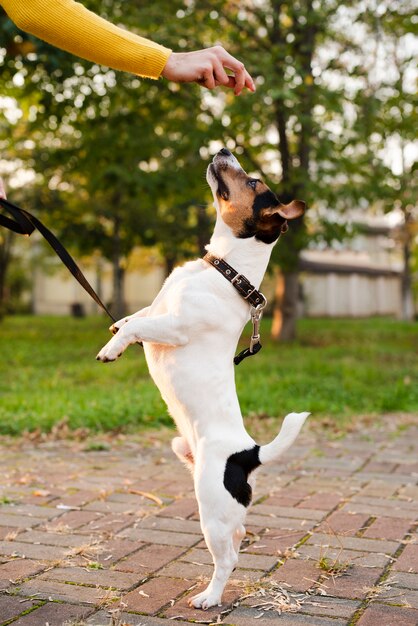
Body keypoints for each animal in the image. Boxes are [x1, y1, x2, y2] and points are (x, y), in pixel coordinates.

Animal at [96, 149, 308, 608]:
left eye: (254, 182)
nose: (223, 150)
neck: (222, 271)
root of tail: (249, 453)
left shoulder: (173, 327)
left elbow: (140, 328)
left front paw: (113, 346)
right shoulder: (158, 308)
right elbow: (136, 317)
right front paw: (117, 324)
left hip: (209, 508)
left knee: (226, 558)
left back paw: (209, 596)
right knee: (239, 537)